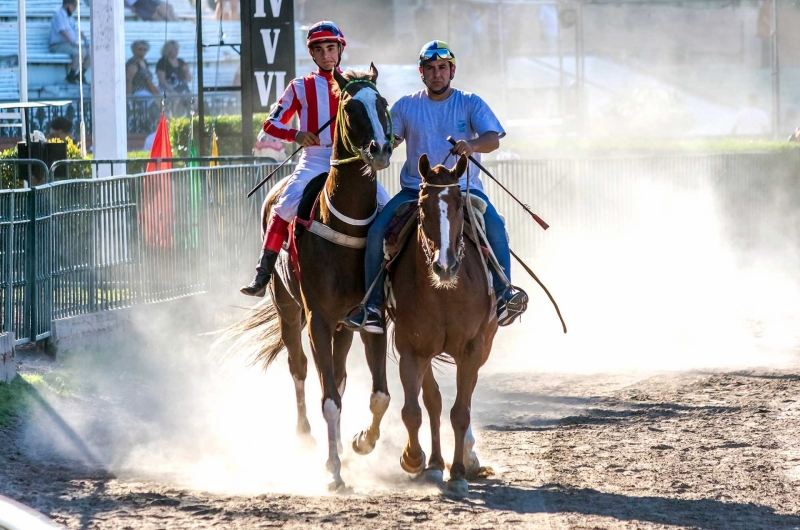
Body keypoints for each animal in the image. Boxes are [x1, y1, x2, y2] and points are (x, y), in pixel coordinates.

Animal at [225, 67, 394, 490]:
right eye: (350, 108)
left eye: (383, 103)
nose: (381, 149)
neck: (346, 226)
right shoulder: (316, 317)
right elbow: (328, 398)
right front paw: (333, 470)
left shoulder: (370, 319)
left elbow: (379, 395)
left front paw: (362, 442)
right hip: (288, 308)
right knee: (299, 367)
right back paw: (304, 436)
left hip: (342, 325)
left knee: (341, 374)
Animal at [388, 153, 494, 496]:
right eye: (423, 206)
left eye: (459, 205)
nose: (444, 266)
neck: (444, 292)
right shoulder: (412, 349)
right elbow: (415, 409)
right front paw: (414, 459)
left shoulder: (472, 349)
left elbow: (461, 411)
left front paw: (459, 472)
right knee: (432, 401)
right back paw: (435, 463)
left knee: (466, 397)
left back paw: (467, 459)